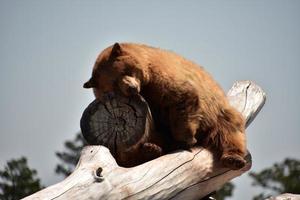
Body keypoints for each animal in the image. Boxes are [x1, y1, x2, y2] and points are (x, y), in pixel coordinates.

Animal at [84, 43, 246, 170]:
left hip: (217, 112)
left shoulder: (160, 77)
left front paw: (186, 139)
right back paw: (151, 149)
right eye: (114, 85)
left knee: (229, 130)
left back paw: (233, 159)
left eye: (124, 71)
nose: (131, 88)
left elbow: (183, 97)